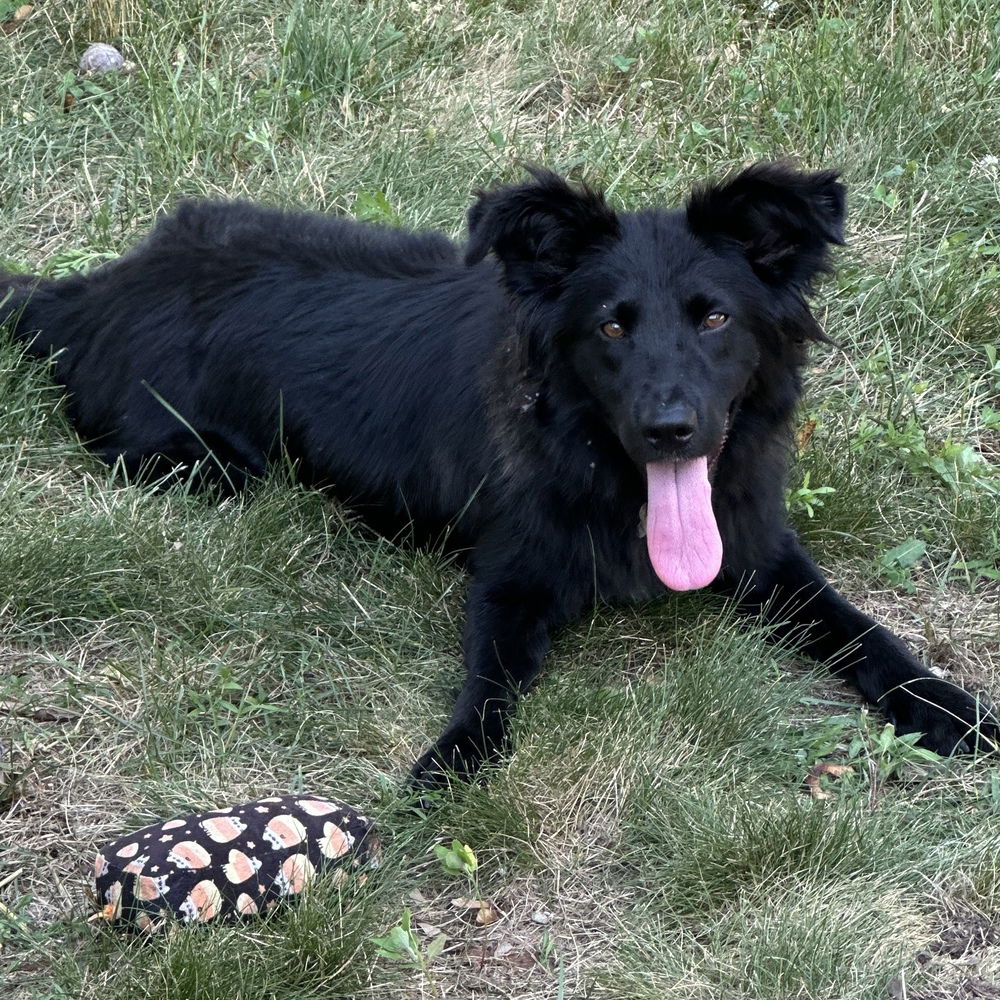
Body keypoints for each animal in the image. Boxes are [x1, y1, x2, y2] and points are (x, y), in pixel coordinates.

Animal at [3, 166, 996, 788]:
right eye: (611, 326)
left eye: (714, 317)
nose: (669, 431)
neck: (604, 476)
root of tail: (87, 292)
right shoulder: (510, 580)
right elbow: (489, 681)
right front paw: (454, 760)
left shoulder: (758, 548)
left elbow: (866, 633)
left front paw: (954, 707)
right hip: (207, 465)